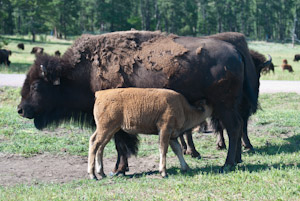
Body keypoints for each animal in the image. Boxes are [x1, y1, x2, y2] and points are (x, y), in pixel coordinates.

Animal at [18, 29, 260, 174]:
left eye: (36, 86)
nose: (21, 110)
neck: (83, 71)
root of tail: (235, 51)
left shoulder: (116, 120)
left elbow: (121, 144)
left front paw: (119, 170)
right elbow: (120, 143)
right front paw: (119, 169)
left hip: (224, 104)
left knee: (234, 127)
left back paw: (228, 163)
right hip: (227, 105)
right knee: (237, 127)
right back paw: (236, 159)